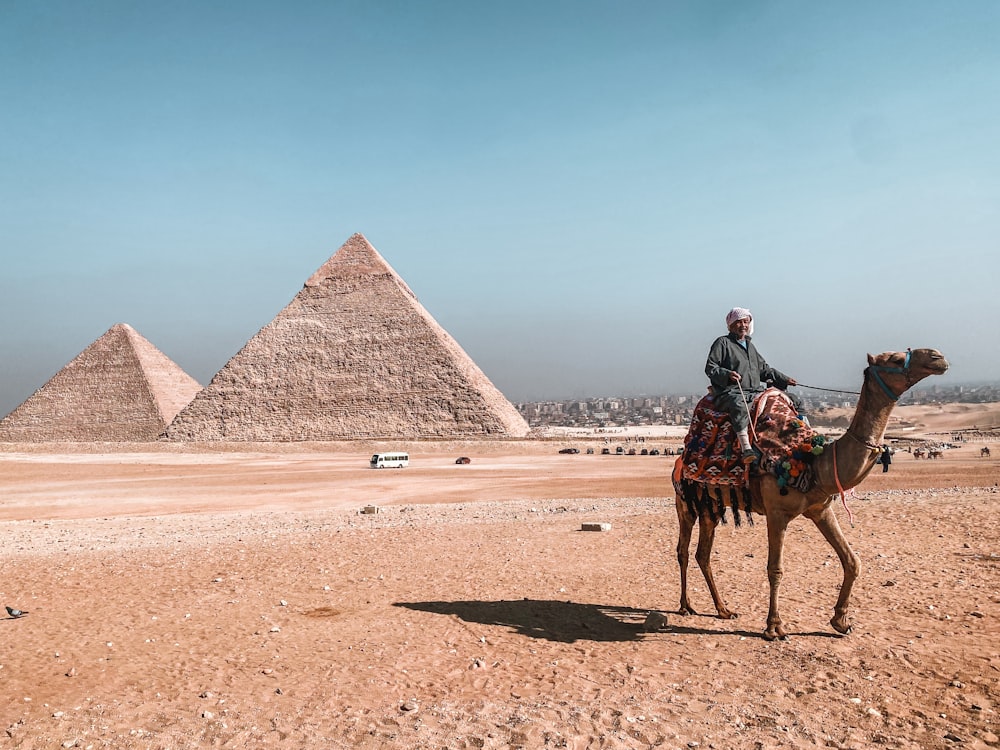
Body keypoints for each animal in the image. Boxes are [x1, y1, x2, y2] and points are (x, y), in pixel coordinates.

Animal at [676, 346, 948, 640]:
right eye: (896, 360)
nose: (937, 357)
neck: (813, 461)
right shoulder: (776, 512)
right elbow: (775, 569)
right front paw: (774, 627)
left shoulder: (820, 509)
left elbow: (852, 561)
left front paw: (840, 621)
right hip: (685, 502)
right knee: (683, 550)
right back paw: (685, 606)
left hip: (712, 506)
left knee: (703, 554)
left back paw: (723, 609)